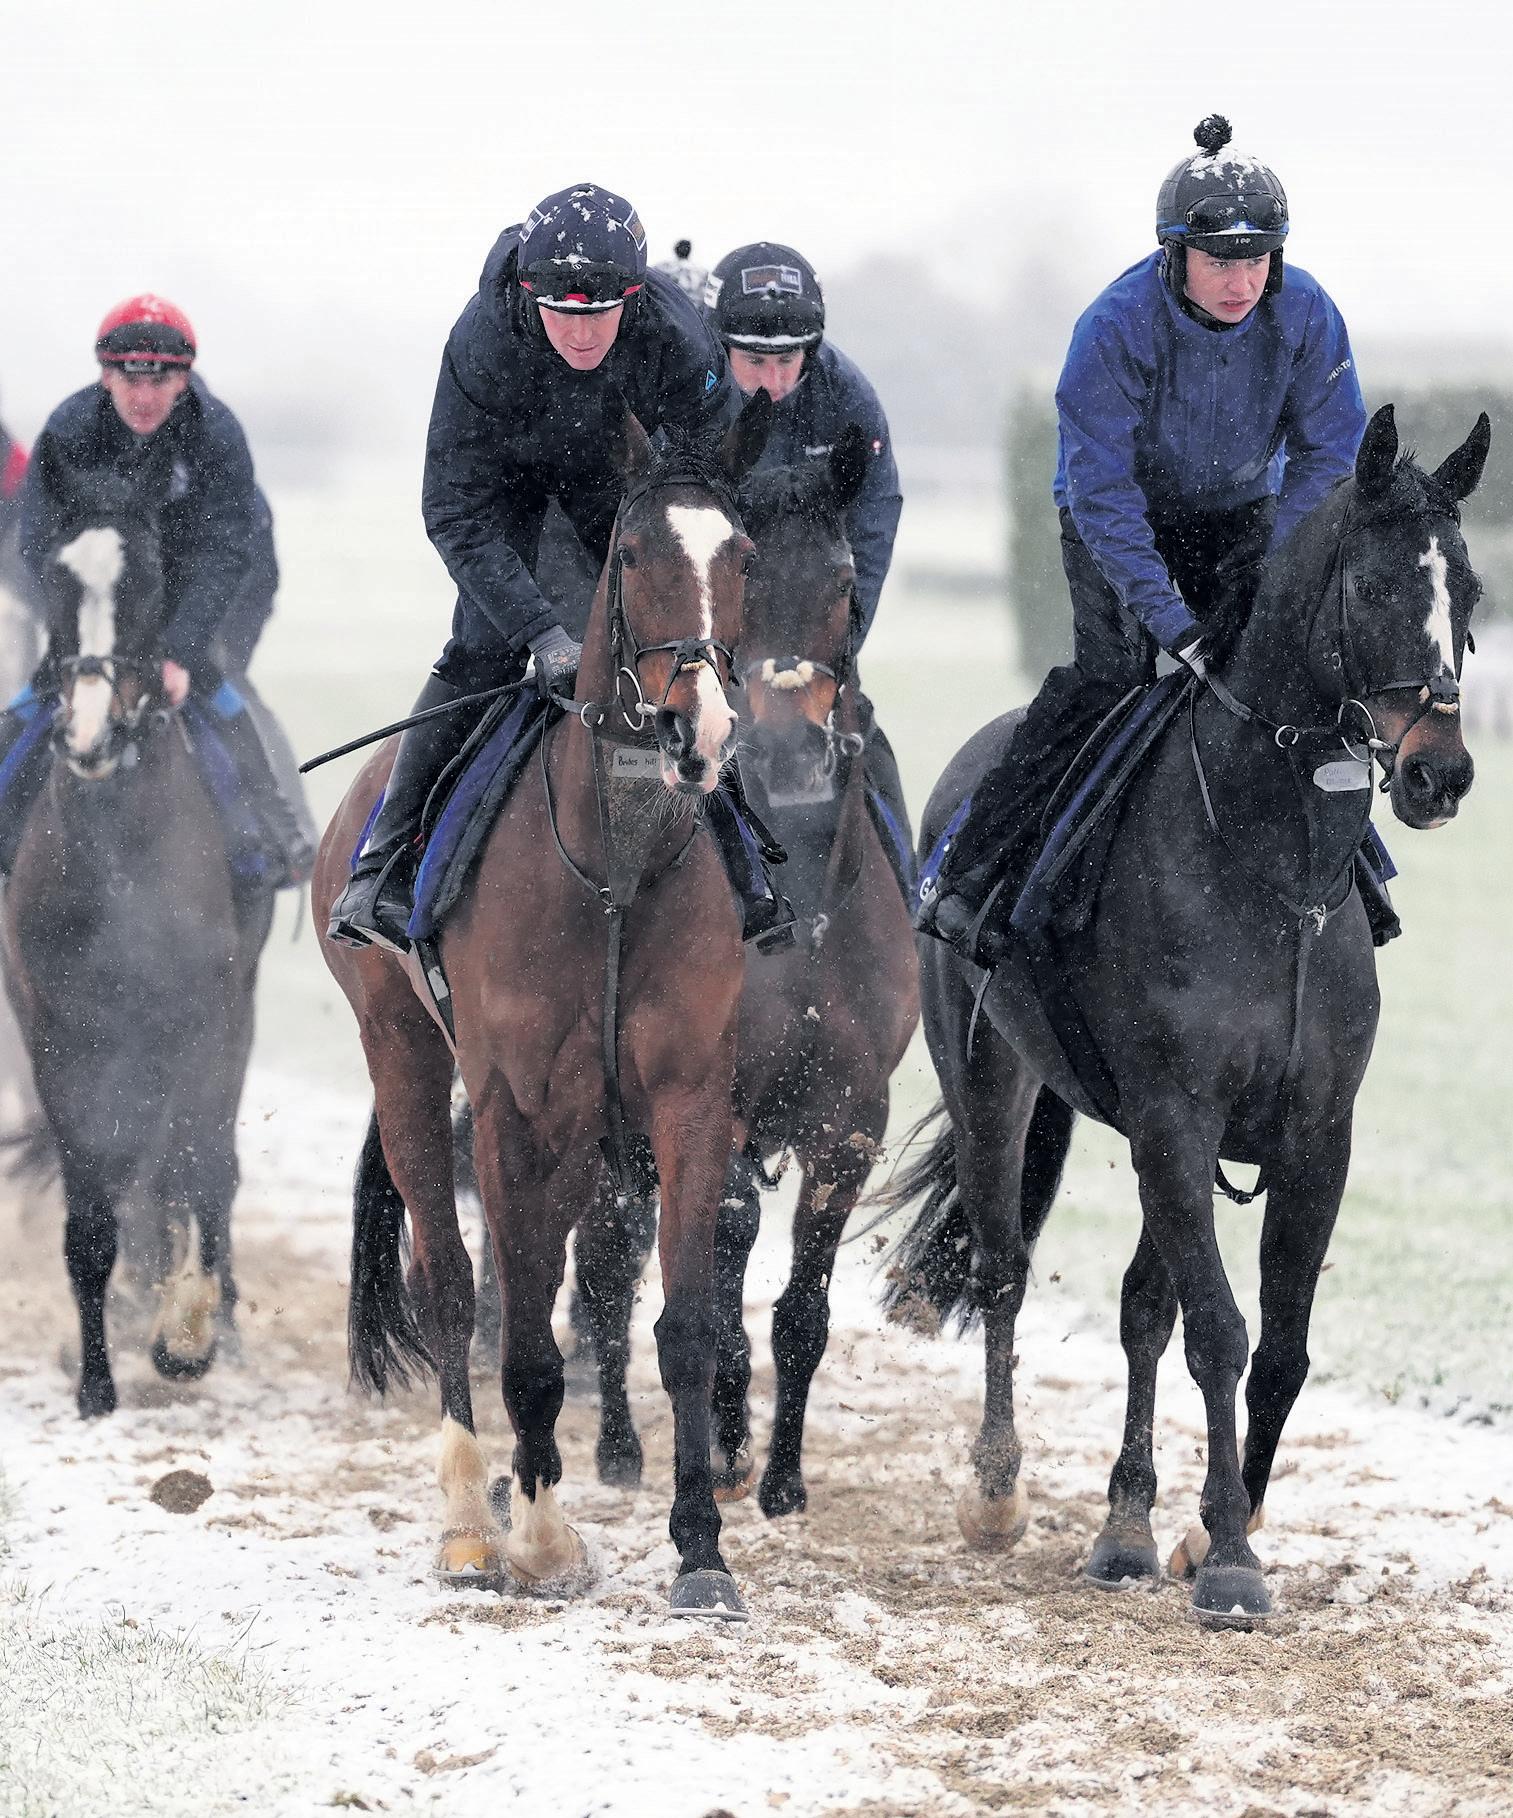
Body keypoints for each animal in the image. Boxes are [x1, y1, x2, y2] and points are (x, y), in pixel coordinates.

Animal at [2, 439, 278, 1418]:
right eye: (54, 575)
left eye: (151, 577)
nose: (88, 733)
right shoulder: (61, 1031)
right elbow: (94, 1206)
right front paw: (96, 1381)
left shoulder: (202, 1014)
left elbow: (197, 1165)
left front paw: (188, 1337)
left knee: (204, 1169)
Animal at [314, 398, 774, 1621]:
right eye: (634, 553)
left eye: (744, 557)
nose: (699, 730)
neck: (614, 866)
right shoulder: (513, 1106)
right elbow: (518, 1334)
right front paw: (533, 1541)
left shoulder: (686, 1098)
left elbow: (685, 1323)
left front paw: (701, 1551)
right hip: (406, 1059)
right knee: (450, 1281)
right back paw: (475, 1524)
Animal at [887, 409, 1491, 1621]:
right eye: (1372, 583)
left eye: (1471, 590)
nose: (1438, 773)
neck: (1270, 872)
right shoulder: (1174, 1118)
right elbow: (1220, 1331)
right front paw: (1227, 1558)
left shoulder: (1311, 1135)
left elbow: (1277, 1345)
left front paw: (1211, 1526)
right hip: (986, 1079)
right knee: (1002, 1266)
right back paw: (998, 1489)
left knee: (1136, 1303)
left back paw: (1123, 1524)